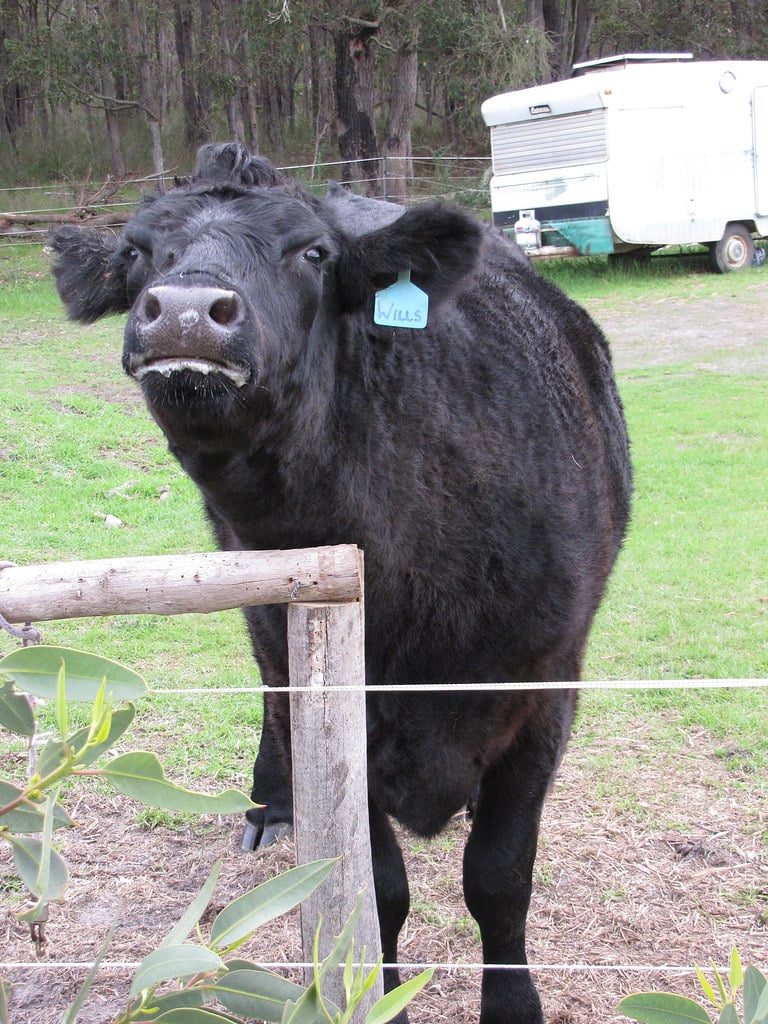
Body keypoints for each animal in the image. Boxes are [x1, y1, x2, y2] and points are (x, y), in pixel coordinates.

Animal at [50, 145, 631, 1024]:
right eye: (136, 253)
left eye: (313, 253)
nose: (184, 310)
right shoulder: (326, 691)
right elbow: (373, 887)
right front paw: (377, 992)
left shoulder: (545, 691)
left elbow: (499, 879)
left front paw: (512, 1006)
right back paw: (270, 804)